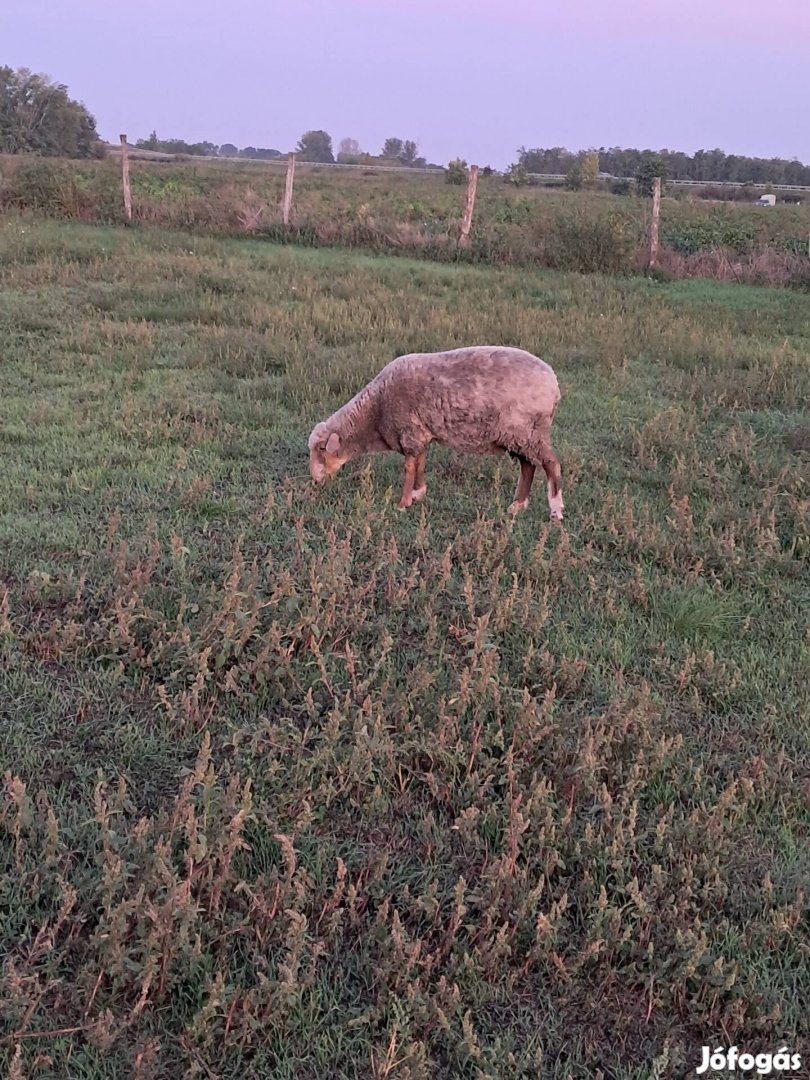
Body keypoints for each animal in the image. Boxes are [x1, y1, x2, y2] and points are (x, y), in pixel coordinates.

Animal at [306, 343, 565, 516]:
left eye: (321, 450)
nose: (316, 482)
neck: (374, 413)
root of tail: (553, 383)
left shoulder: (409, 431)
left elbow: (409, 467)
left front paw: (403, 503)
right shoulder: (420, 433)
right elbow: (420, 462)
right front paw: (418, 493)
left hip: (528, 430)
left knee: (551, 464)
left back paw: (555, 509)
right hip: (519, 435)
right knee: (528, 466)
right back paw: (517, 506)